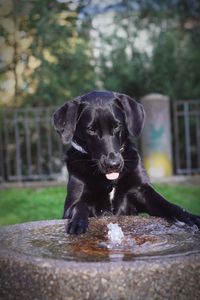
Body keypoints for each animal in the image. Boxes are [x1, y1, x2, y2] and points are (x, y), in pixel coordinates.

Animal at [53, 89, 200, 234]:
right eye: (91, 129)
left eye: (117, 126)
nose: (113, 165)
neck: (110, 181)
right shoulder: (70, 206)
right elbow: (80, 205)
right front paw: (78, 222)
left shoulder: (142, 190)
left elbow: (168, 204)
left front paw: (190, 217)